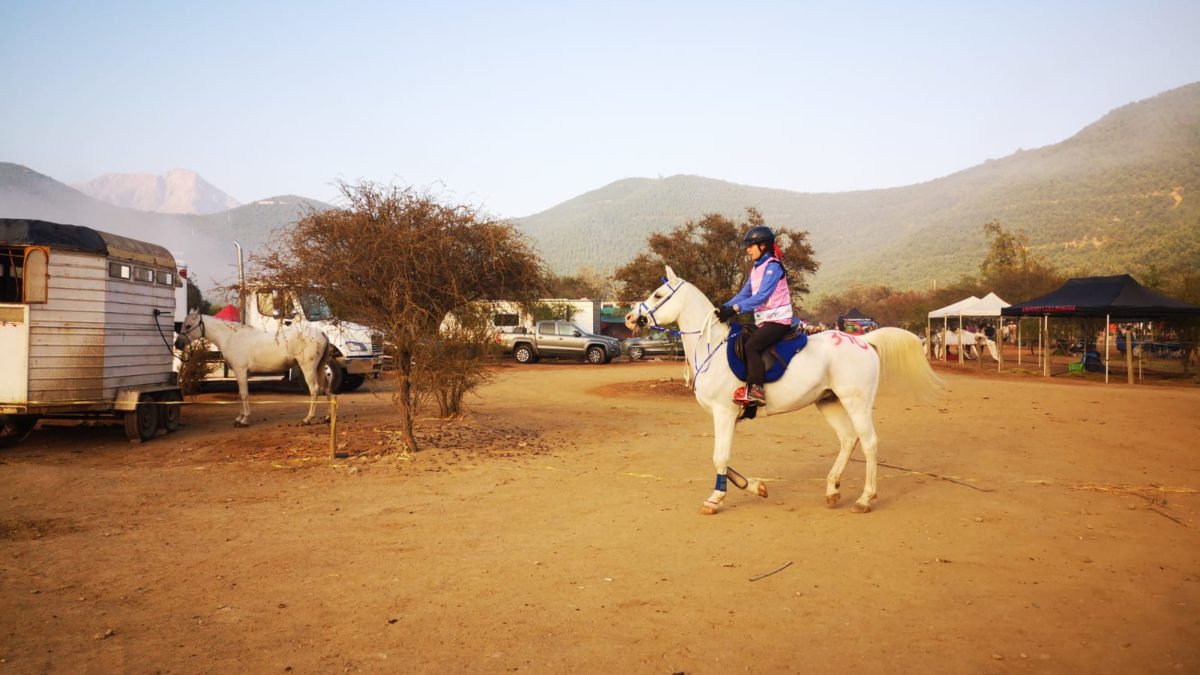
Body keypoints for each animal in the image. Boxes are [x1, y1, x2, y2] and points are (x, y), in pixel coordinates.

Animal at [175, 307, 333, 422]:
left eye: (188, 325)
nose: (178, 344)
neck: (230, 337)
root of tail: (321, 333)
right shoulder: (241, 373)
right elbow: (241, 394)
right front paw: (240, 417)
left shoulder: (240, 371)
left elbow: (244, 394)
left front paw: (244, 419)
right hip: (319, 368)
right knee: (326, 388)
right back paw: (328, 417)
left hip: (308, 368)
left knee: (314, 389)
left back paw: (308, 418)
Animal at [624, 265, 940, 511]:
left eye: (658, 295)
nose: (629, 317)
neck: (711, 346)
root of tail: (863, 339)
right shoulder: (730, 416)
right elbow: (723, 457)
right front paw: (754, 486)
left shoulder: (724, 412)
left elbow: (719, 456)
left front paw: (716, 498)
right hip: (828, 401)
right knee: (849, 439)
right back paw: (832, 489)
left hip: (856, 402)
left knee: (869, 442)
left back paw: (865, 499)